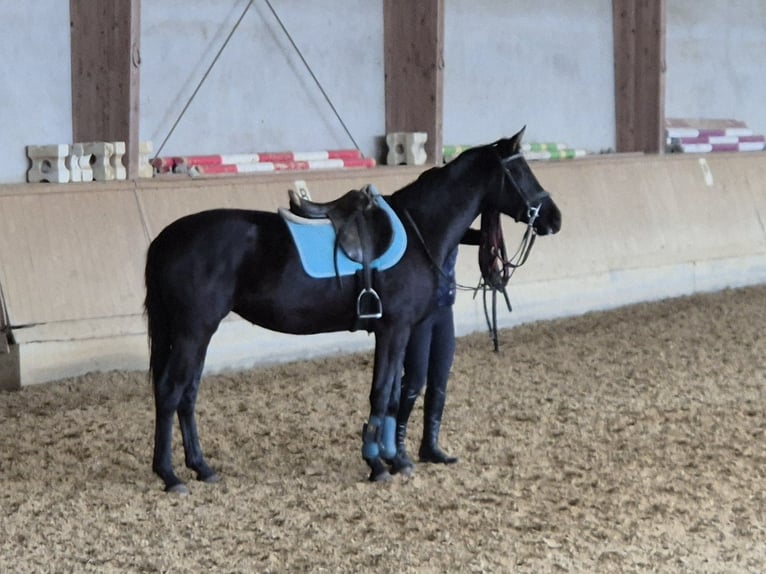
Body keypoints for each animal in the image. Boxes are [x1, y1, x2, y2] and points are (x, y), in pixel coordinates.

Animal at [146, 127, 564, 496]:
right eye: (519, 172)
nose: (554, 218)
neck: (419, 229)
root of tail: (165, 239)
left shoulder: (398, 331)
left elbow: (393, 394)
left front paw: (398, 460)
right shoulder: (394, 329)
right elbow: (381, 394)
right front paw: (377, 464)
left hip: (197, 334)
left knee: (187, 395)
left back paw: (202, 468)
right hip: (193, 331)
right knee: (170, 392)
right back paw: (170, 475)